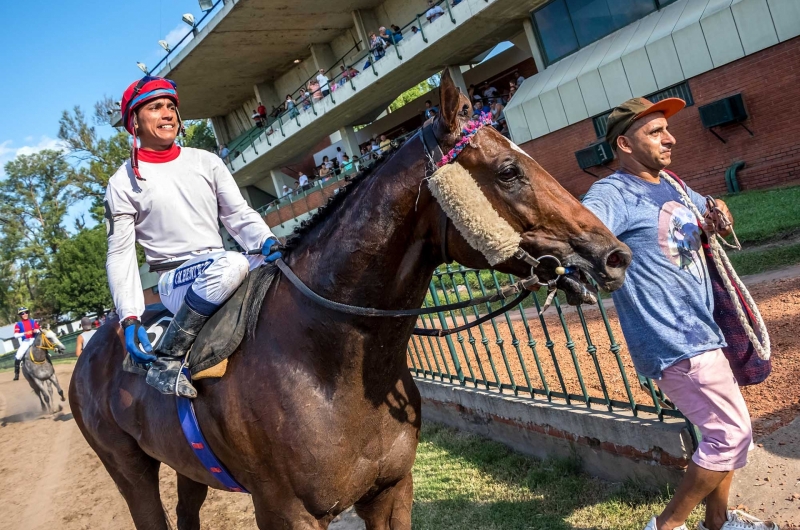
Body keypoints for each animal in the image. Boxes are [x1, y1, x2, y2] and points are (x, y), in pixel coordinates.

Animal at [69, 71, 632, 528]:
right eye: (509, 171)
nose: (614, 256)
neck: (322, 360)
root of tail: (93, 347)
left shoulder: (390, 491)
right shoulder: (286, 512)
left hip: (186, 466)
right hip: (128, 467)